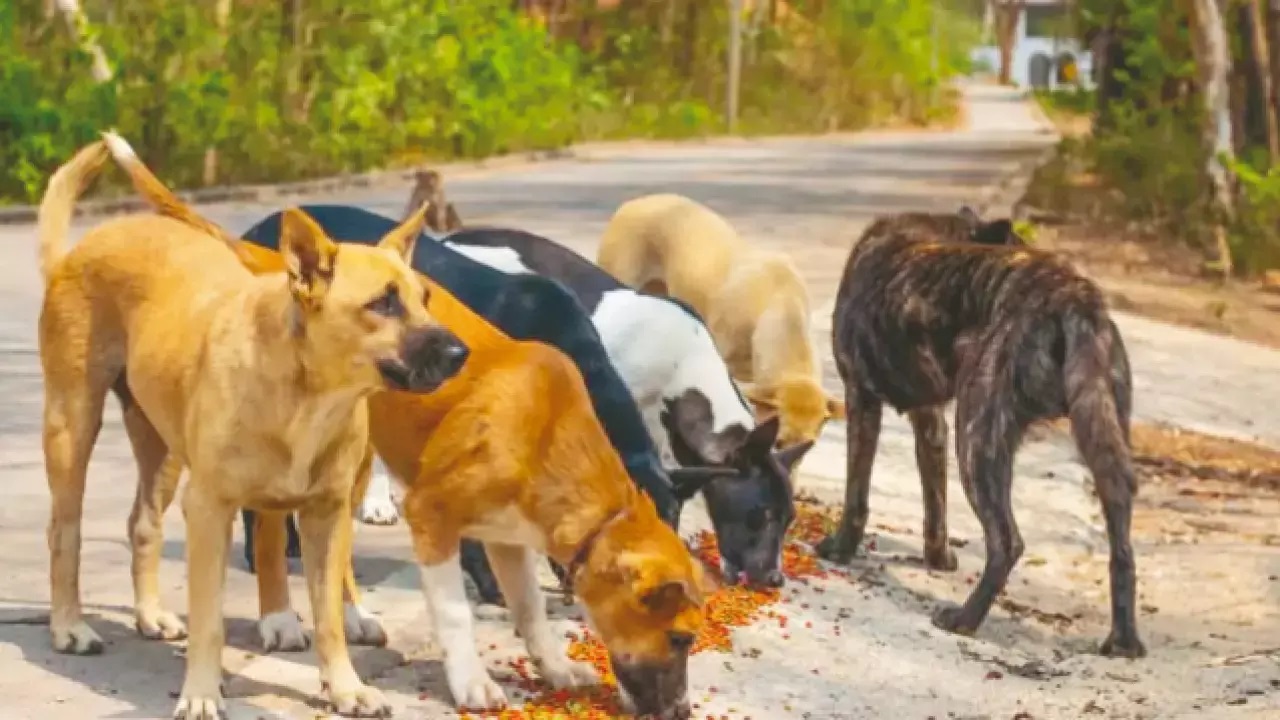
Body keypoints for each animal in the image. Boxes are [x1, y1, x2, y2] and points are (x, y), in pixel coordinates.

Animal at [37, 135, 473, 717]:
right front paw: (201, 692)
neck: (308, 393)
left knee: (143, 524)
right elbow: (210, 621)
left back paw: (149, 615)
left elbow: (329, 619)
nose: (461, 353)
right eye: (382, 303)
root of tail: (76, 252)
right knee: (65, 532)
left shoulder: (326, 515)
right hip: (72, 428)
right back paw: (70, 627)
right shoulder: (209, 511)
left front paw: (346, 687)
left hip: (161, 449)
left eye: (424, 298)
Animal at [819, 203, 1152, 655]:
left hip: (977, 439)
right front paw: (937, 559)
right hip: (1103, 447)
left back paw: (964, 619)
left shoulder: (861, 399)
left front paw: (839, 549)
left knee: (1007, 541)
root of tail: (1072, 296)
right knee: (1123, 552)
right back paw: (1123, 639)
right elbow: (935, 505)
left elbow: (856, 496)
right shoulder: (931, 419)